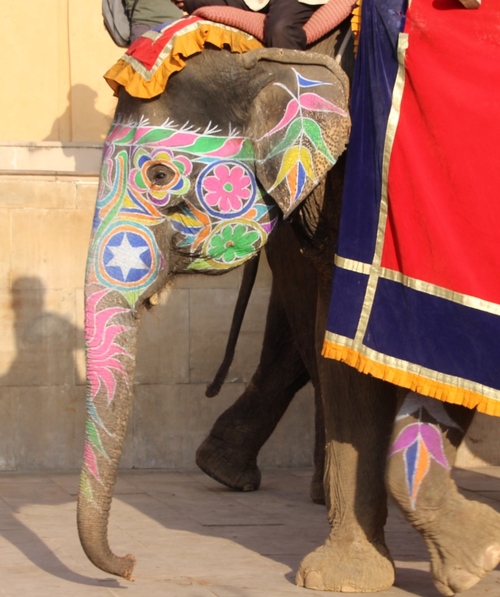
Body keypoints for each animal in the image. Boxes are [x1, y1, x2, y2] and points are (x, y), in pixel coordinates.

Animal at [76, 18, 500, 596]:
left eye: (160, 176)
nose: (131, 565)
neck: (275, 57)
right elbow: (341, 358)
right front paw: (342, 577)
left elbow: (445, 343)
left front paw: (478, 564)